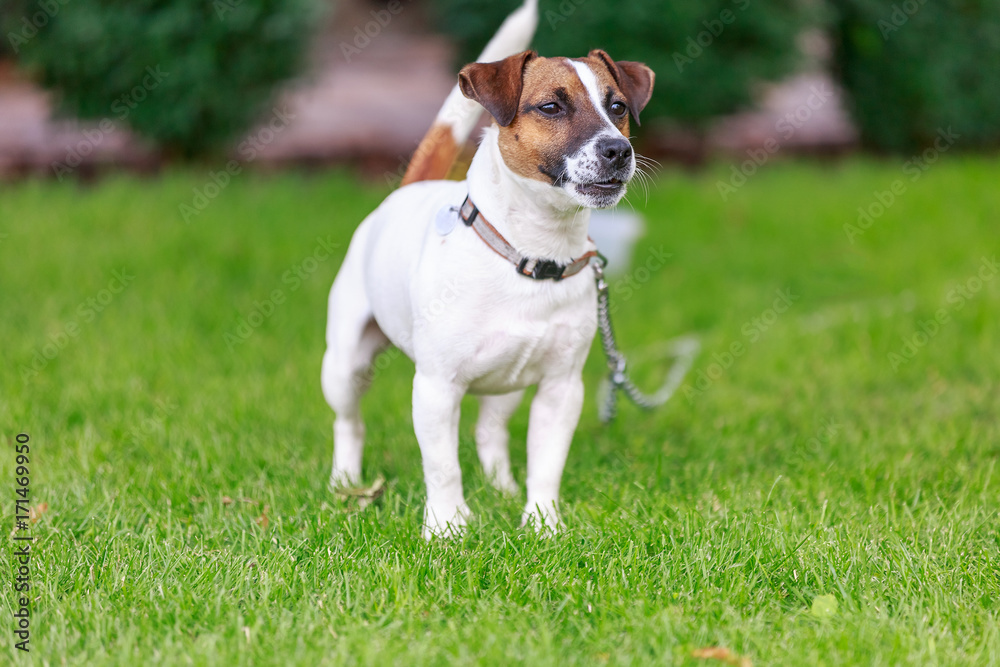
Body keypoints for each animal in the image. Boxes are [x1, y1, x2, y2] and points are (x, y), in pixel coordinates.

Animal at [316, 1, 652, 536]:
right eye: (550, 107)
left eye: (617, 107)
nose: (618, 151)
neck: (531, 254)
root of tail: (408, 188)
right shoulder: (435, 388)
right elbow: (442, 466)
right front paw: (447, 526)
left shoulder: (561, 389)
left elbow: (546, 463)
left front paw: (542, 523)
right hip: (345, 364)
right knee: (349, 423)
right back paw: (345, 480)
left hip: (508, 382)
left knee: (489, 431)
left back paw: (502, 489)